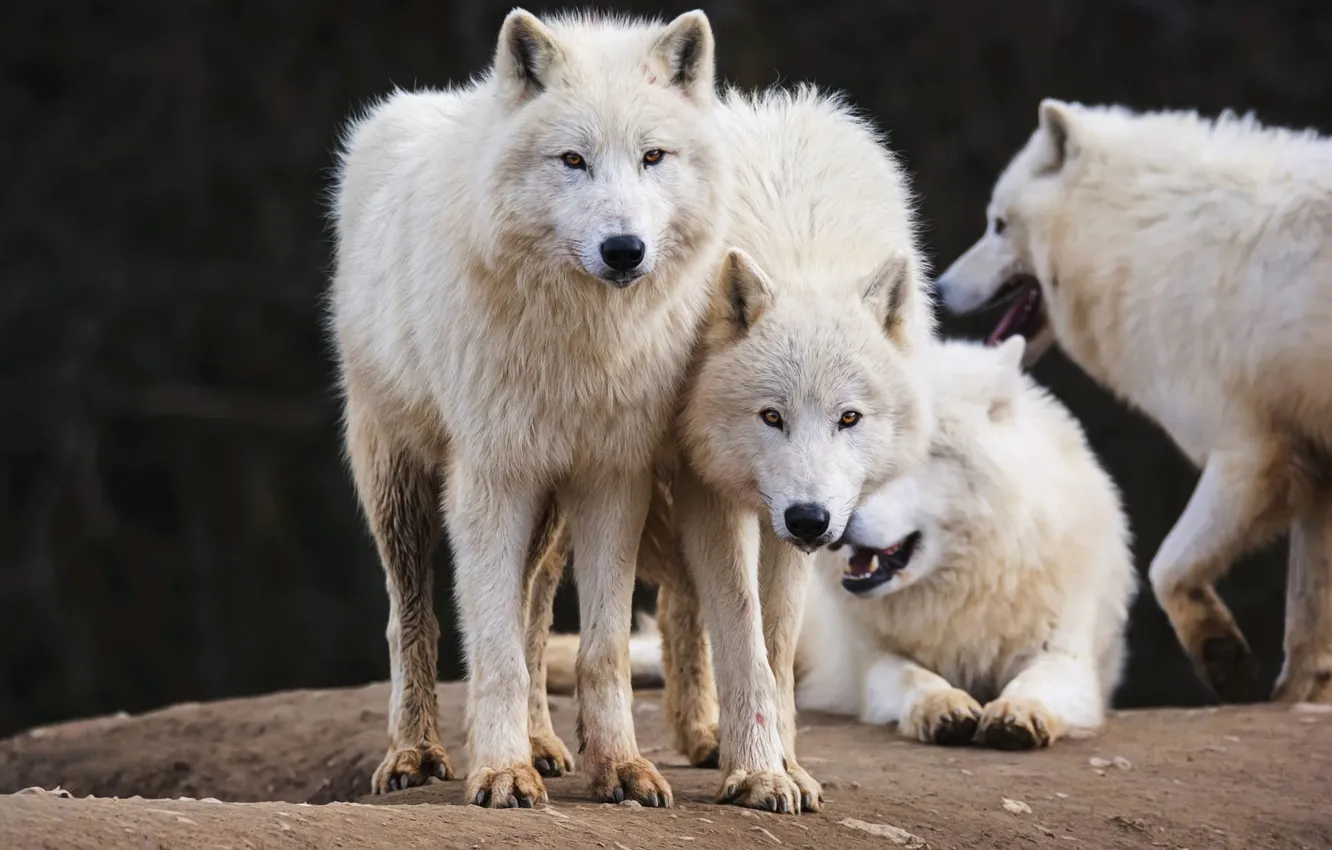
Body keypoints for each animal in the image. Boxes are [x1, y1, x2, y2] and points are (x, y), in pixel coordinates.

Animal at [327, 8, 729, 808]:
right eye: (572, 160)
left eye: (653, 157)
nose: (624, 248)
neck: (581, 342)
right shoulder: (488, 480)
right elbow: (491, 649)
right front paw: (499, 772)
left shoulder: (612, 479)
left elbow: (598, 649)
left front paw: (619, 767)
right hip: (399, 485)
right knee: (412, 619)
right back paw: (415, 753)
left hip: (549, 506)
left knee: (535, 610)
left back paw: (544, 743)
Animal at [934, 99, 1332, 704]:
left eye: (999, 225)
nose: (938, 289)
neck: (1138, 240)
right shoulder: (1312, 463)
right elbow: (1308, 624)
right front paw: (1297, 701)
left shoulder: (1250, 453)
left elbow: (1166, 566)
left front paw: (1222, 656)